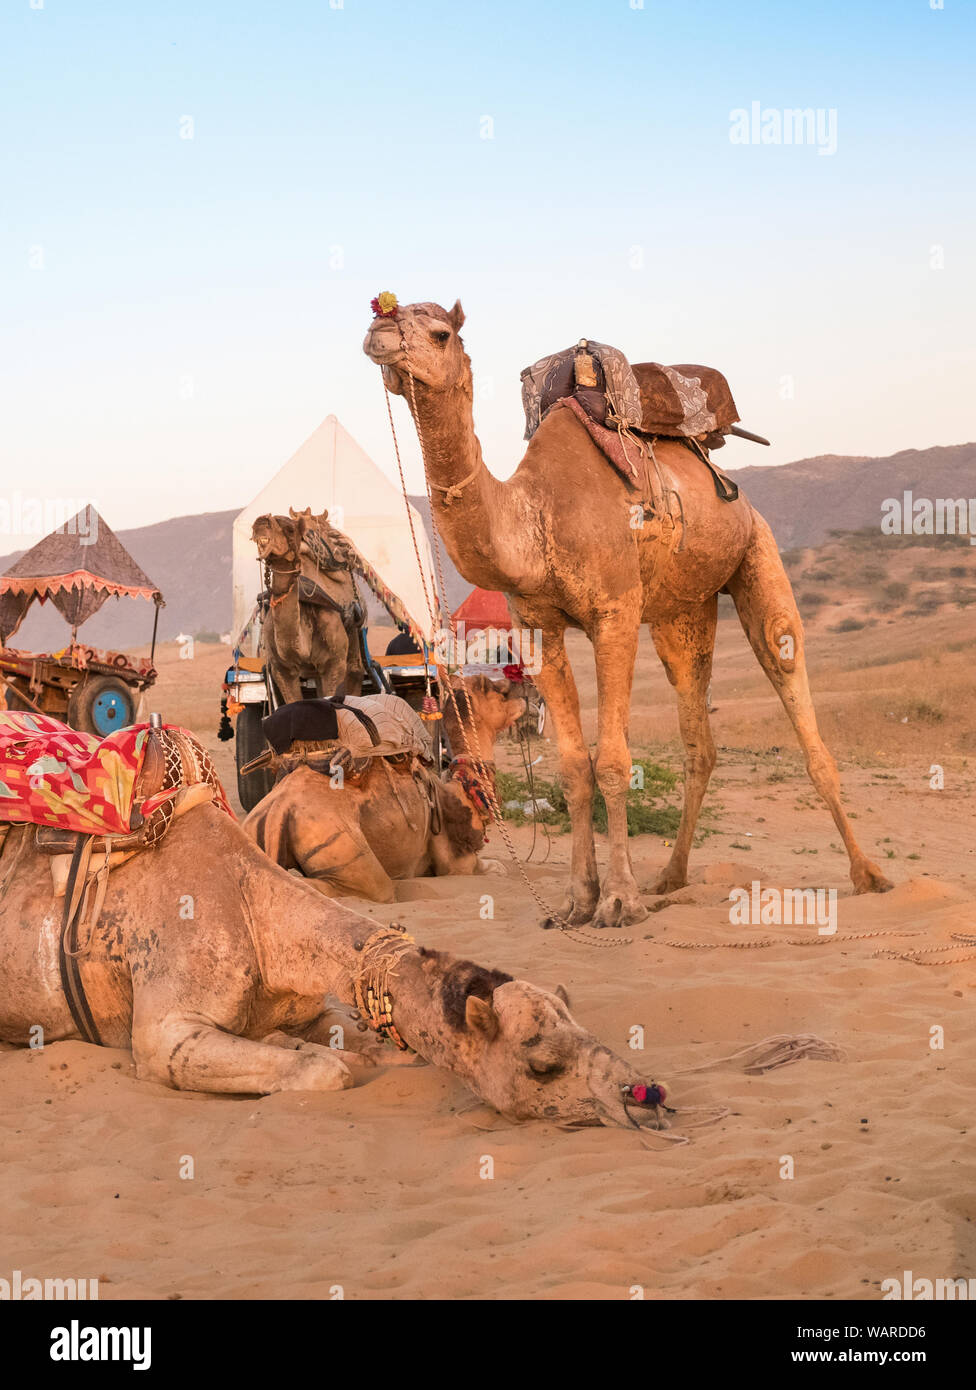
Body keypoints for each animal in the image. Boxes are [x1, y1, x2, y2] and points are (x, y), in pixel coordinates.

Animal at [0, 800, 664, 1123]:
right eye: (542, 1066)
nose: (641, 1092)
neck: (256, 910)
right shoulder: (165, 1033)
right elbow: (328, 1070)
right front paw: (298, 1054)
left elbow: (360, 1045)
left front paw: (295, 1043)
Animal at [244, 675, 531, 900]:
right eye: (498, 690)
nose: (525, 692)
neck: (461, 790)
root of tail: (279, 808)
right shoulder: (456, 863)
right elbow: (495, 868)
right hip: (339, 844)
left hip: (253, 830)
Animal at [364, 298, 895, 928]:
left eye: (440, 332)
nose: (378, 329)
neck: (537, 513)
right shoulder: (538, 627)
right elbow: (573, 768)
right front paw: (577, 901)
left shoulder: (614, 613)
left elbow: (614, 762)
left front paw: (619, 900)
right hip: (681, 613)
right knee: (698, 735)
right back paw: (670, 875)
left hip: (757, 552)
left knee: (789, 669)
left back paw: (869, 875)